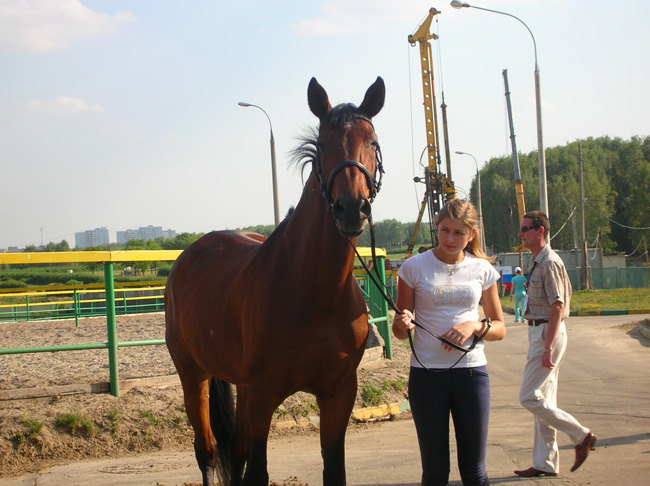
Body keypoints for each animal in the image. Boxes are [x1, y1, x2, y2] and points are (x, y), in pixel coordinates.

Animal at [165, 77, 382, 486]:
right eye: (324, 144)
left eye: (373, 142)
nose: (351, 208)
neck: (314, 290)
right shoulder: (263, 394)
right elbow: (256, 471)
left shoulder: (339, 392)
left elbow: (333, 470)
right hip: (193, 374)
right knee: (208, 451)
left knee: (233, 452)